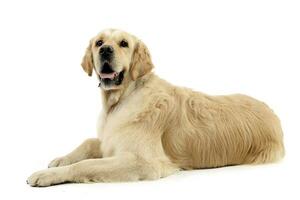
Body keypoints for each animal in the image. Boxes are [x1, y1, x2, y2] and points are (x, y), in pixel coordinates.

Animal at [27, 28, 284, 187]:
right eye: (99, 42)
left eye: (123, 44)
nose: (105, 50)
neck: (120, 101)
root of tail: (273, 112)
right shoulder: (110, 139)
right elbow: (89, 142)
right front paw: (61, 159)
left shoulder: (144, 162)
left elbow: (86, 165)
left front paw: (47, 175)